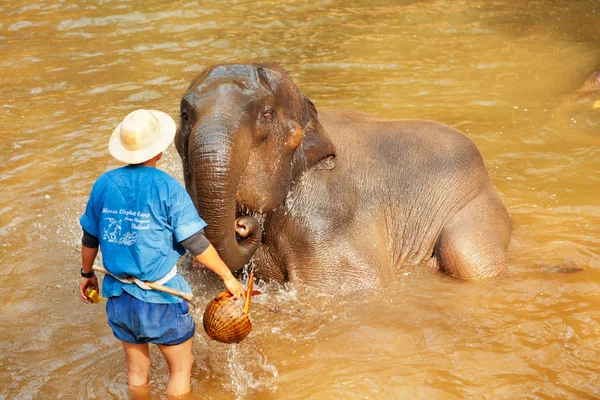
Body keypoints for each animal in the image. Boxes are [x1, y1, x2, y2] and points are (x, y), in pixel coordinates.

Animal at [176, 63, 512, 290]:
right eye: (185, 115)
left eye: (267, 114)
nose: (243, 224)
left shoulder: (327, 221)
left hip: (479, 205)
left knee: (468, 257)